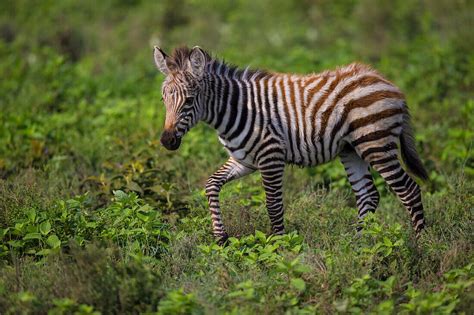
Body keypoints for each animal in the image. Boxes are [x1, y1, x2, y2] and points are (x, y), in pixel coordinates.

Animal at [154, 45, 428, 246]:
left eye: (189, 100)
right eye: (163, 99)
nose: (167, 141)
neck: (236, 108)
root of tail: (386, 81)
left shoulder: (271, 156)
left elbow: (273, 205)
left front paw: (279, 249)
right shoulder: (244, 160)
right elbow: (211, 185)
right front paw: (221, 238)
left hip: (376, 143)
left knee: (409, 190)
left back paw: (422, 245)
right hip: (352, 150)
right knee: (368, 195)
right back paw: (357, 245)